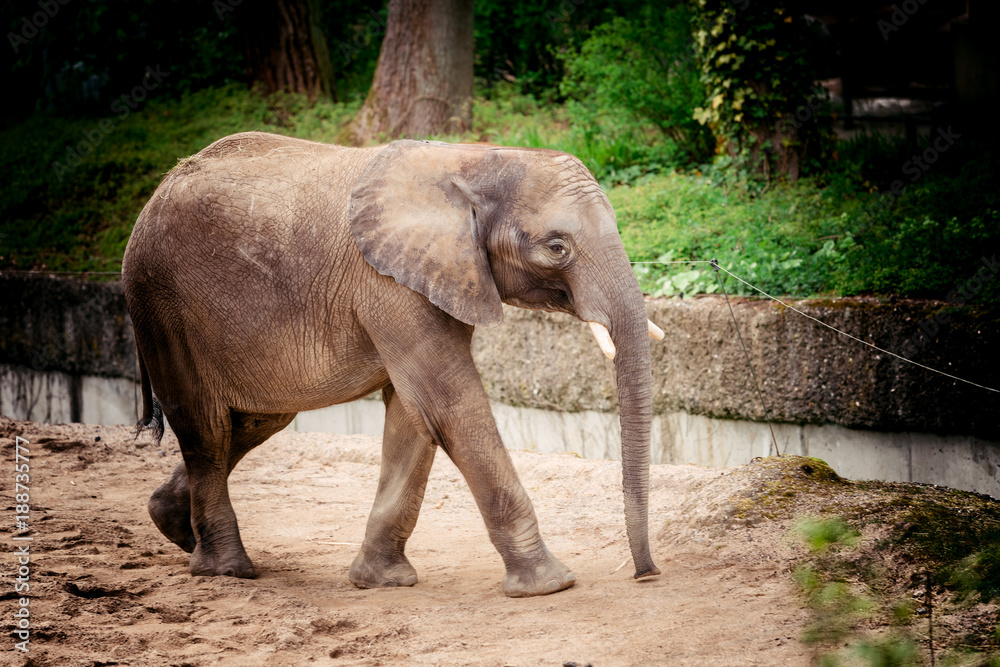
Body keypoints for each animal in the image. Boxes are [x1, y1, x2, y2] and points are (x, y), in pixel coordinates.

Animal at [121, 131, 664, 597]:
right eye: (556, 247)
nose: (647, 574)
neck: (470, 159)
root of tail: (153, 195)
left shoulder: (439, 275)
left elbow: (414, 413)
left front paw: (382, 581)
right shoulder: (389, 282)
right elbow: (449, 404)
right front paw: (550, 584)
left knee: (254, 420)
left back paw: (175, 529)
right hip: (159, 301)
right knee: (205, 425)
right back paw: (227, 570)